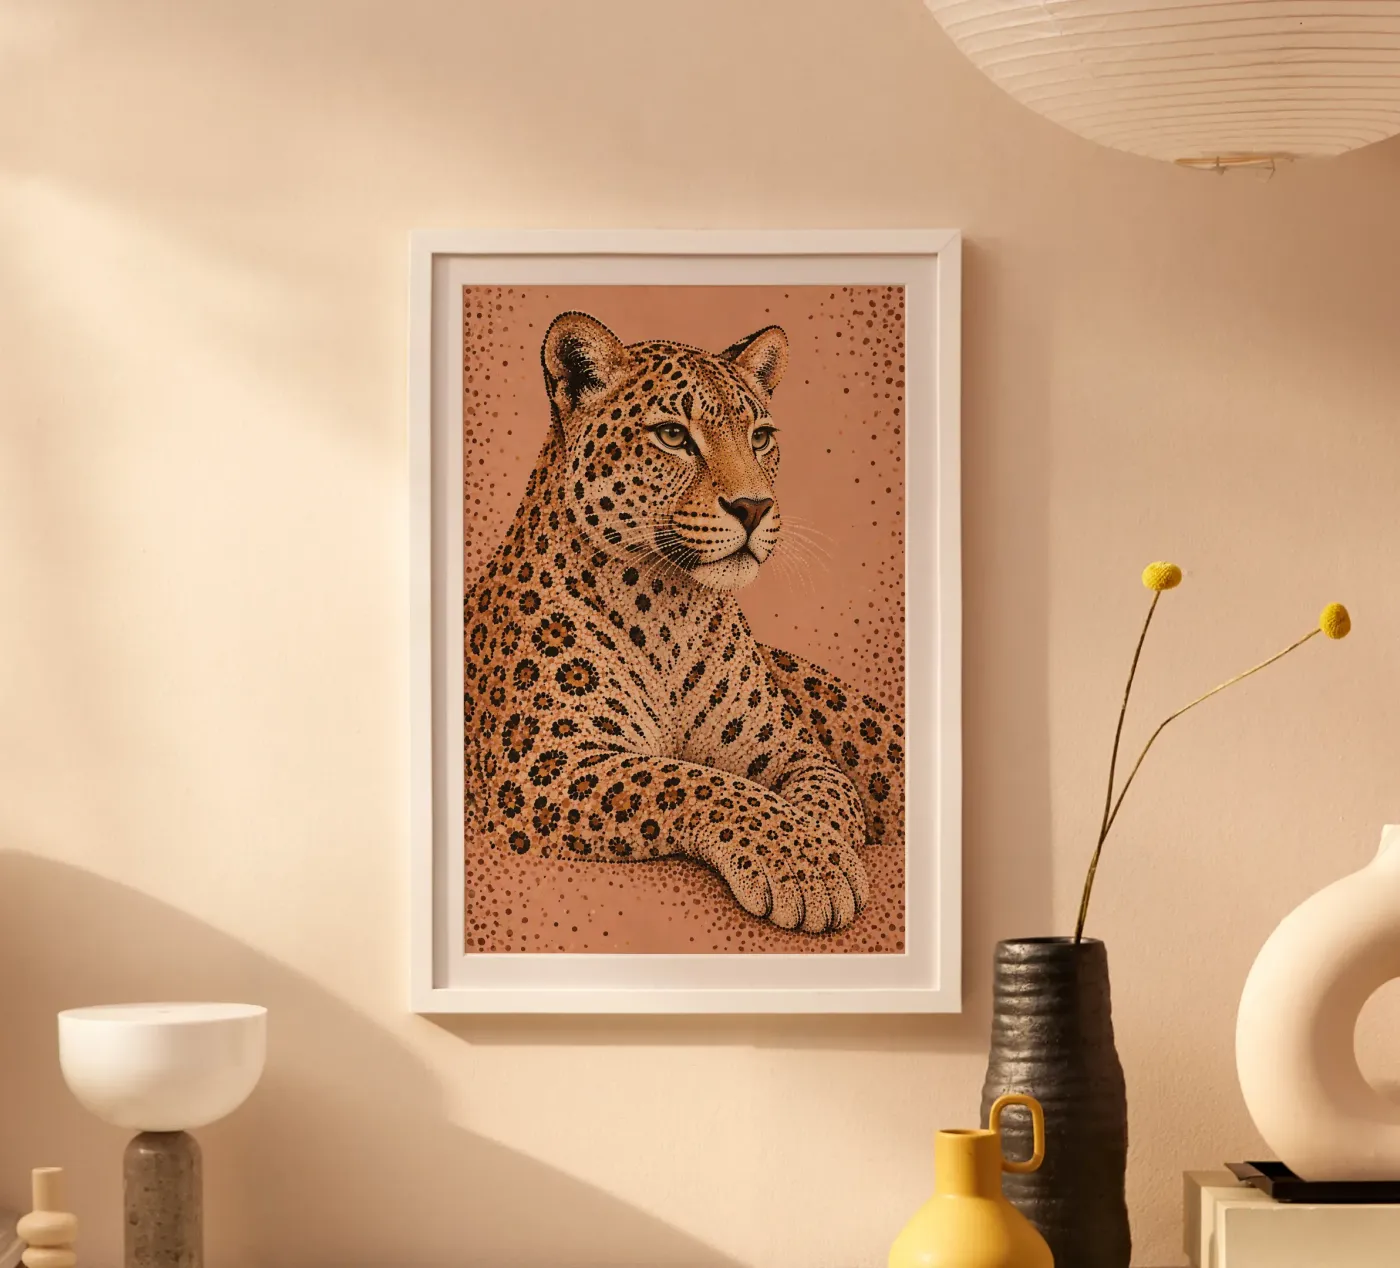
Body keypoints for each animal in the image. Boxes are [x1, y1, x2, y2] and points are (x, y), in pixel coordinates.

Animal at [464, 309, 905, 934]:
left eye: (760, 438)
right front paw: (811, 867)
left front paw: (822, 851)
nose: (754, 507)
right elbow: (692, 781)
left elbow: (826, 800)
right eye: (673, 435)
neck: (671, 609)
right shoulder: (541, 765)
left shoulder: (799, 755)